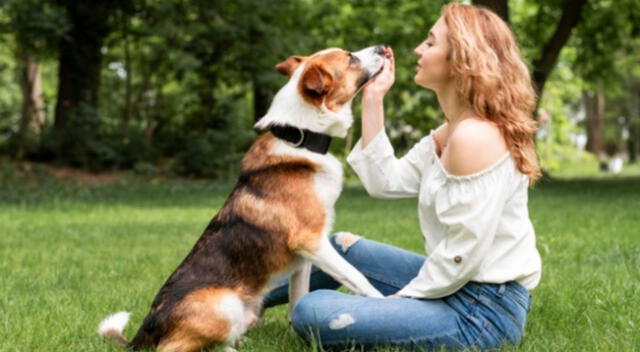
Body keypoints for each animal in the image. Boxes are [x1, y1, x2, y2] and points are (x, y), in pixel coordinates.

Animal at [99, 46, 390, 352]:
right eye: (350, 58)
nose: (382, 48)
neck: (300, 139)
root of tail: (145, 330)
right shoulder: (311, 241)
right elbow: (357, 277)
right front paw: (385, 303)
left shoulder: (305, 258)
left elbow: (299, 300)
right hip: (224, 305)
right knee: (172, 348)